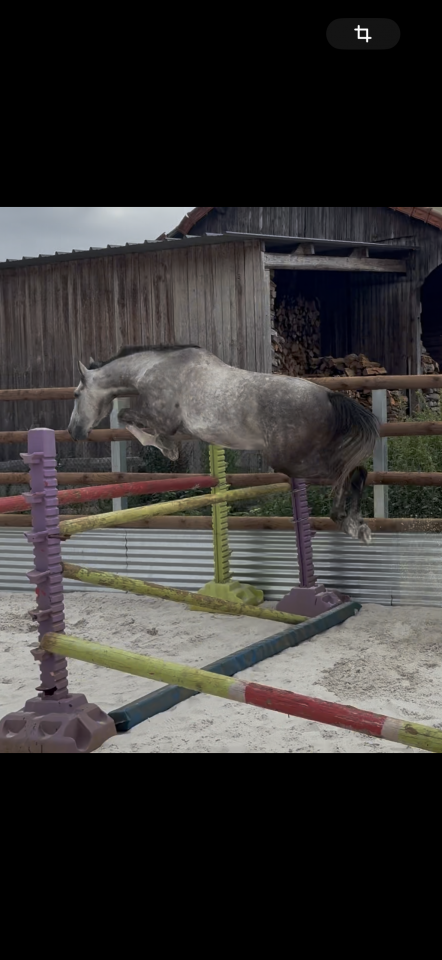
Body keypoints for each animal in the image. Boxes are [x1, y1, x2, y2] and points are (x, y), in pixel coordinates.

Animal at [67, 344, 379, 543]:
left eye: (76, 394)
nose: (73, 431)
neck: (151, 369)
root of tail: (329, 396)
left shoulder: (162, 419)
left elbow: (127, 418)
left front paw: (168, 449)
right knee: (356, 471)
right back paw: (356, 524)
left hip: (290, 461)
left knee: (344, 475)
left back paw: (347, 522)